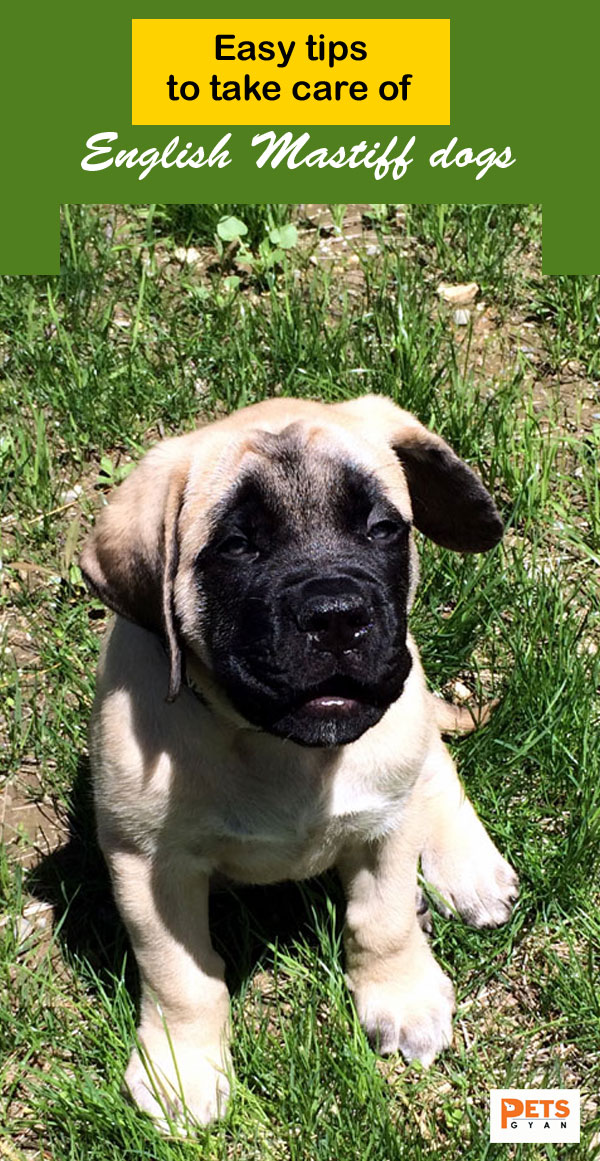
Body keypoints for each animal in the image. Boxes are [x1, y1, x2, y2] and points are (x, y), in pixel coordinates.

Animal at [80, 394, 519, 1128]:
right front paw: (182, 1068)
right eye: (236, 546)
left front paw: (401, 994)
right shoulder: (147, 863)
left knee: (434, 764)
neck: (278, 746)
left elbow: (384, 922)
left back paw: (468, 867)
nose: (337, 615)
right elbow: (180, 975)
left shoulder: (386, 825)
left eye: (382, 529)